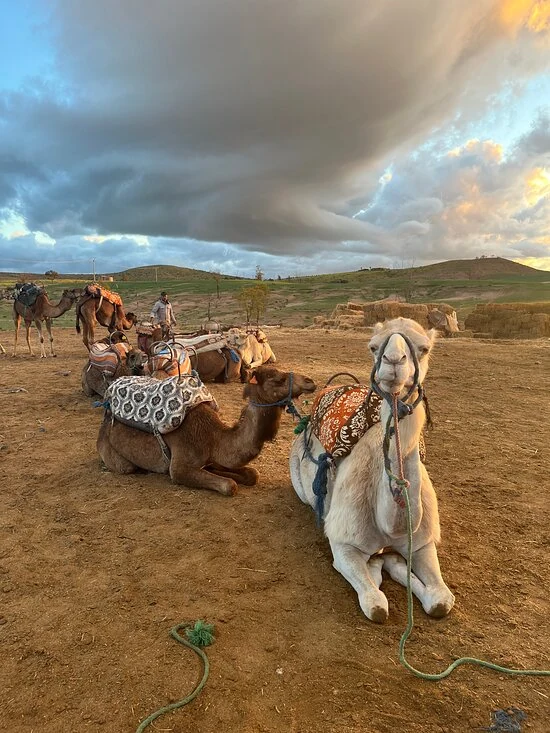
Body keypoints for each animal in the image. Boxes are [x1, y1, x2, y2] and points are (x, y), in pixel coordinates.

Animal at [97, 365, 316, 495]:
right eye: (277, 379)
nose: (310, 382)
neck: (214, 437)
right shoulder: (179, 468)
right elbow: (229, 485)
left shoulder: (214, 457)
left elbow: (251, 474)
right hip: (115, 456)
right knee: (125, 467)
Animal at [289, 317, 455, 623]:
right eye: (373, 346)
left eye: (424, 348)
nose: (394, 360)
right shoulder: (343, 542)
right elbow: (375, 603)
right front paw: (380, 565)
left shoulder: (423, 542)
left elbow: (441, 600)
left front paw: (395, 563)